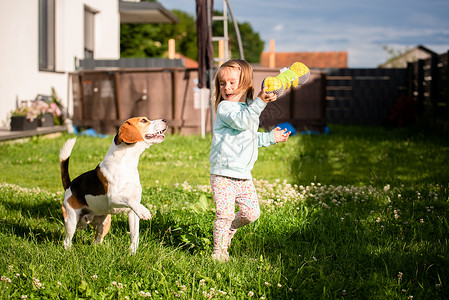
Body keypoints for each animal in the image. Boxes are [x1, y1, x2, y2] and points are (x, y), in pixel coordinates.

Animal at [57, 116, 166, 253]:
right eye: (143, 120)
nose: (165, 120)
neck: (126, 163)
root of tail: (69, 185)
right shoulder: (113, 197)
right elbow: (129, 200)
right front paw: (144, 211)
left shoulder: (132, 212)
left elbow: (134, 235)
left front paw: (132, 253)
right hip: (71, 220)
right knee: (67, 241)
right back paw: (69, 252)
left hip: (105, 223)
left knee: (97, 240)